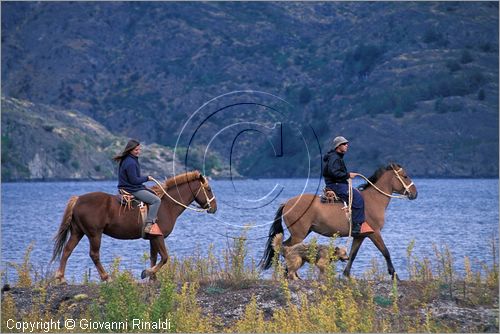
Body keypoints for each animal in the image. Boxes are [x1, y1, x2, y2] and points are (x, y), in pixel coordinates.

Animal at [51, 171, 218, 284]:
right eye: (209, 189)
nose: (214, 208)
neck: (166, 205)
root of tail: (78, 199)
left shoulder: (153, 238)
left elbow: (154, 257)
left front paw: (153, 278)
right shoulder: (159, 236)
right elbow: (164, 257)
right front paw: (147, 273)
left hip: (78, 232)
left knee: (67, 250)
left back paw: (61, 277)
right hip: (94, 234)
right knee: (94, 254)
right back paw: (106, 277)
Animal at [262, 163, 418, 278]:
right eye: (405, 176)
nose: (415, 193)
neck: (374, 200)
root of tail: (287, 203)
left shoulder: (360, 236)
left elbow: (353, 255)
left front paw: (346, 274)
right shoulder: (375, 233)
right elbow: (385, 251)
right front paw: (394, 275)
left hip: (301, 233)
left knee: (282, 246)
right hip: (298, 234)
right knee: (286, 248)